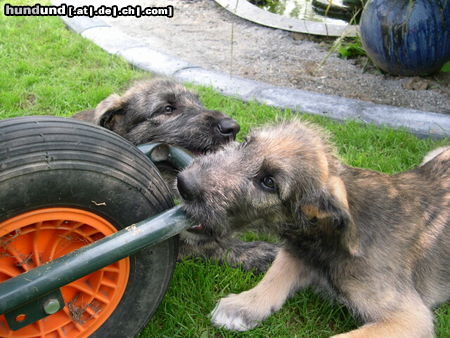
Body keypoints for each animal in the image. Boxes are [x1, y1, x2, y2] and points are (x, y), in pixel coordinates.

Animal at [178, 120, 448, 336]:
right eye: (246, 143)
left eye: (269, 182)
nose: (183, 183)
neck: (328, 238)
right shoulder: (297, 251)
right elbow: (275, 274)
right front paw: (244, 305)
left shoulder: (409, 317)